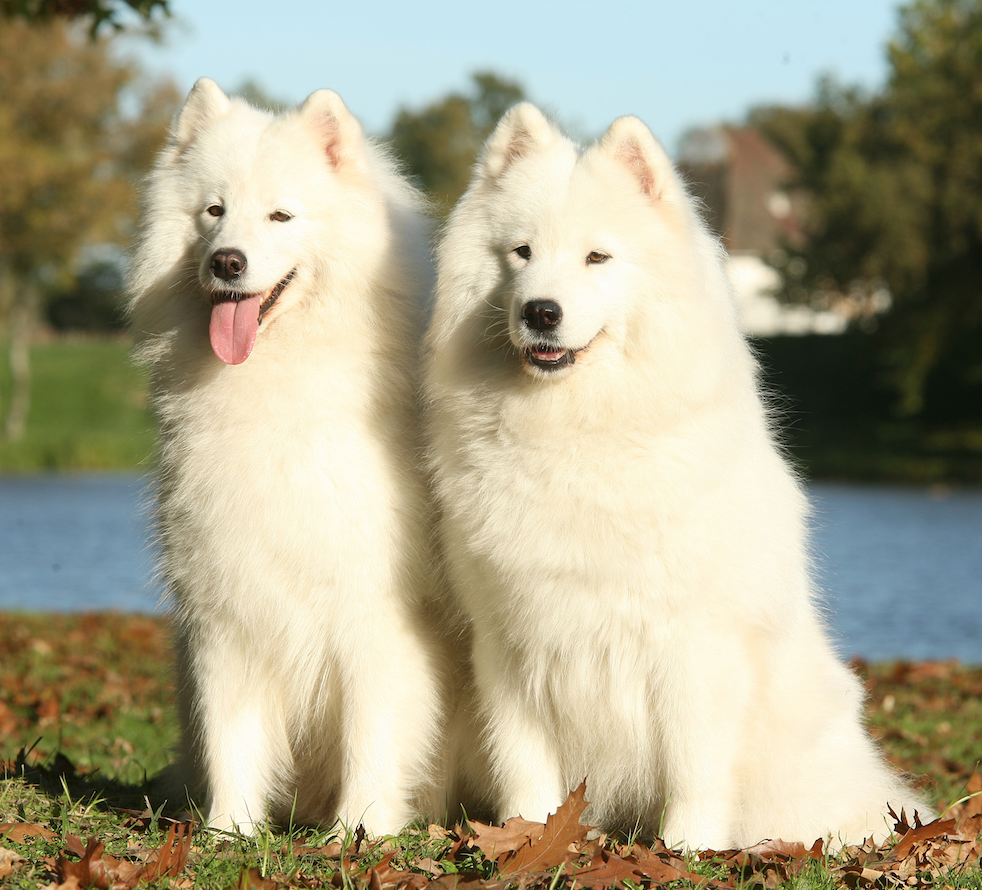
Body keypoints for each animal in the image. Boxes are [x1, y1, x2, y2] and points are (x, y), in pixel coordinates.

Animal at [127, 76, 472, 832]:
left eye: (280, 215)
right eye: (214, 212)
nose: (226, 261)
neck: (277, 390)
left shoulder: (376, 614)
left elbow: (372, 734)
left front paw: (359, 832)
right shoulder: (226, 604)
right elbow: (230, 735)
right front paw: (226, 832)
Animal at [424, 104, 932, 848]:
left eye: (597, 257)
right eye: (520, 253)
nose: (539, 311)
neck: (579, 431)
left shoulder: (693, 646)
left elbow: (693, 764)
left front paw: (686, 849)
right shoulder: (511, 642)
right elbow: (522, 760)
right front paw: (526, 836)